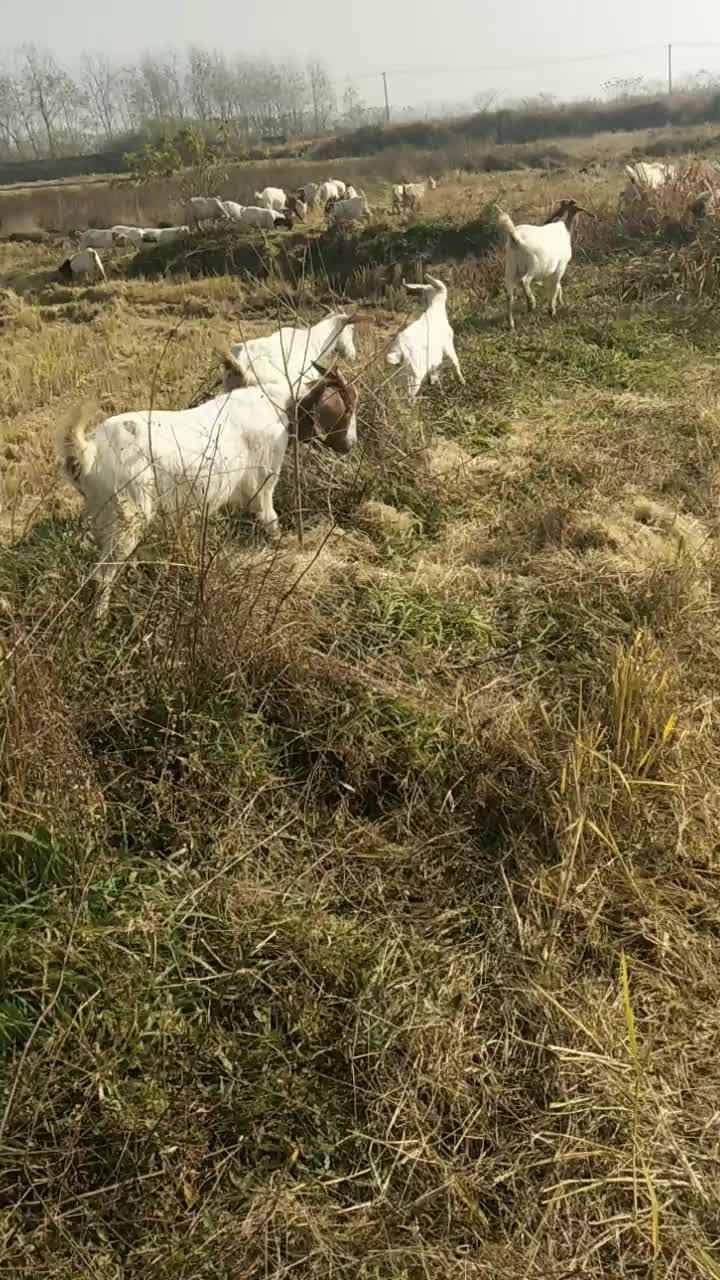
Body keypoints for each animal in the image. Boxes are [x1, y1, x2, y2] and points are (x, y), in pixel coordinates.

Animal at [60, 366, 356, 619]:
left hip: (104, 515)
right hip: (128, 517)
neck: (279, 404)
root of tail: (88, 451)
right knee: (103, 575)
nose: (350, 445)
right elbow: (270, 519)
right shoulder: (263, 481)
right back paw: (100, 620)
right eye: (349, 406)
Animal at [497, 198, 586, 330]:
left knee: (509, 295)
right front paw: (552, 309)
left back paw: (511, 323)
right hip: (533, 265)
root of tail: (516, 239)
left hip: (510, 269)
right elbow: (555, 287)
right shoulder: (560, 267)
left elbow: (557, 286)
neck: (564, 227)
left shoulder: (550, 271)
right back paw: (531, 303)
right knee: (524, 281)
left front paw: (559, 302)